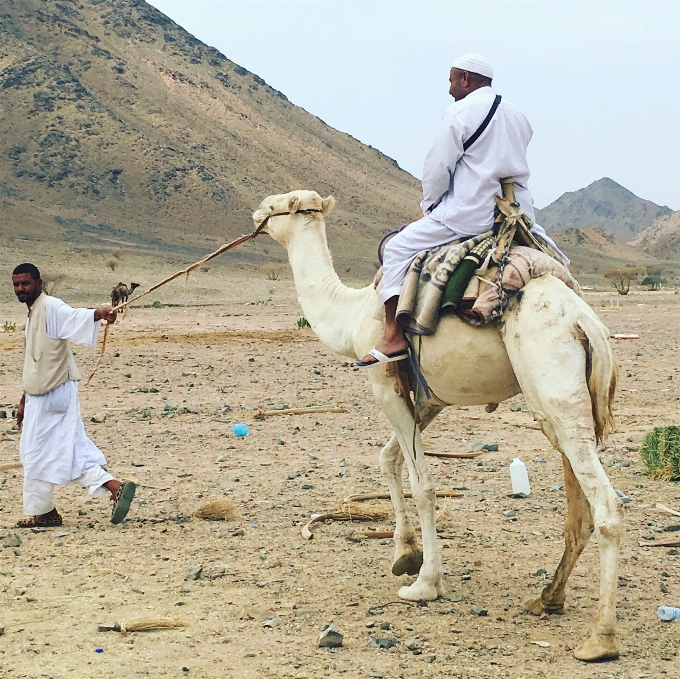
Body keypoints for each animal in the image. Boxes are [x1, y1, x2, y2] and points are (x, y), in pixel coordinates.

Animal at [252, 189, 624, 660]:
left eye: (279, 206)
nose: (256, 214)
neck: (352, 314)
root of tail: (584, 321)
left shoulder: (383, 382)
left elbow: (423, 484)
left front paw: (425, 583)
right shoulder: (431, 399)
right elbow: (388, 458)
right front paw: (404, 554)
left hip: (553, 386)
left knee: (606, 507)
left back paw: (600, 638)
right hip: (565, 407)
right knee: (579, 506)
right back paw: (548, 598)